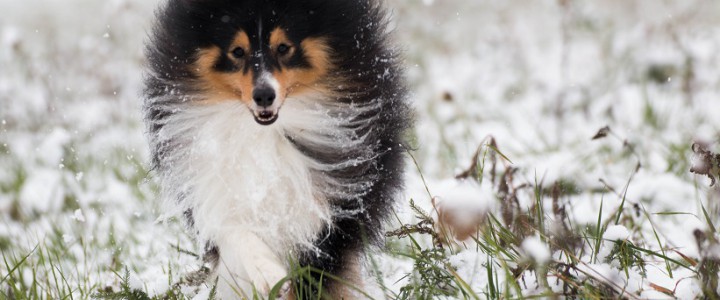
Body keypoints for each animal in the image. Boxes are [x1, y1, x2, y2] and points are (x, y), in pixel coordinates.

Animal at [142, 0, 410, 298]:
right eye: (237, 51)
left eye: (283, 47)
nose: (263, 96)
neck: (265, 132)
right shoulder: (213, 181)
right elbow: (236, 232)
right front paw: (269, 276)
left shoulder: (338, 199)